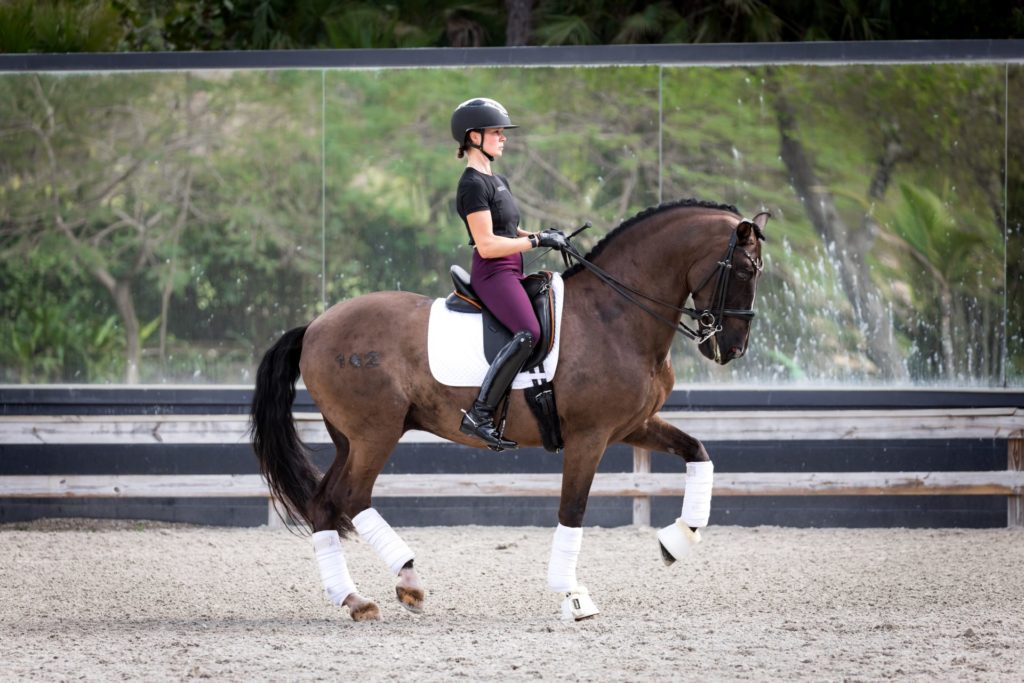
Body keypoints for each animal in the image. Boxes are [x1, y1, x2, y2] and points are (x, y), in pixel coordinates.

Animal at [249, 196, 770, 618]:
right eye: (746, 271)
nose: (733, 348)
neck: (614, 315)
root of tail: (315, 327)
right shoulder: (590, 436)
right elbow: (573, 509)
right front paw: (572, 595)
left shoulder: (632, 425)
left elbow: (699, 452)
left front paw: (677, 540)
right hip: (376, 433)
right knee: (352, 498)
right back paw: (408, 581)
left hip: (349, 439)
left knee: (323, 504)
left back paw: (354, 599)